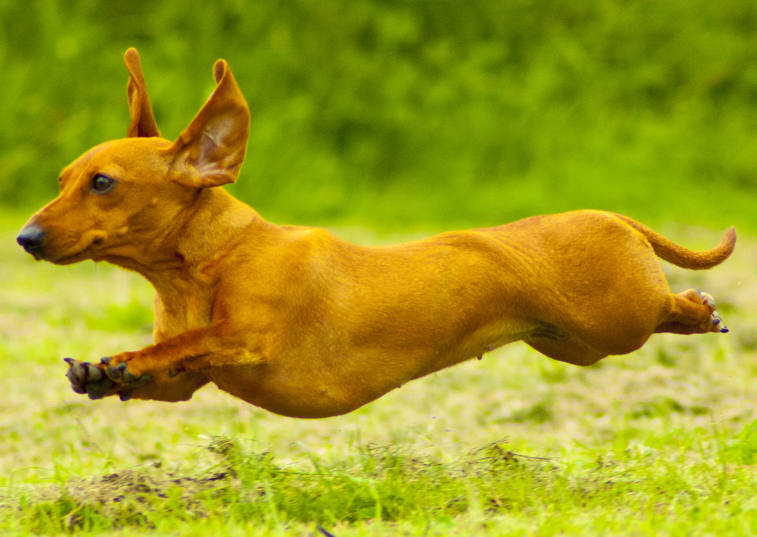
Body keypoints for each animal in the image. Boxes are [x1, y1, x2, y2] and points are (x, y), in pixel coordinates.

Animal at [17, 50, 736, 416]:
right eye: (63, 177)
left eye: (102, 183)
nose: (25, 238)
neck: (206, 263)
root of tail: (613, 216)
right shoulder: (188, 381)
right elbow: (167, 363)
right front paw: (106, 371)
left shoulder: (249, 337)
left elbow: (190, 340)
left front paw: (126, 358)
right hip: (571, 344)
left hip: (615, 320)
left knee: (668, 307)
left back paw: (699, 307)